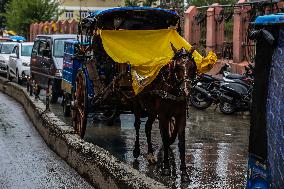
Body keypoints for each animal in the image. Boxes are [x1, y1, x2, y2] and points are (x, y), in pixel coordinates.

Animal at [131, 45, 196, 182]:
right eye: (177, 67)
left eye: (192, 67)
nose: (186, 90)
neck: (173, 90)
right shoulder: (163, 115)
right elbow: (165, 139)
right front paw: (166, 167)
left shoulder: (181, 116)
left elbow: (181, 142)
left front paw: (184, 172)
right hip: (136, 104)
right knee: (138, 125)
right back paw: (137, 150)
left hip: (151, 111)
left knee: (148, 127)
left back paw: (151, 154)